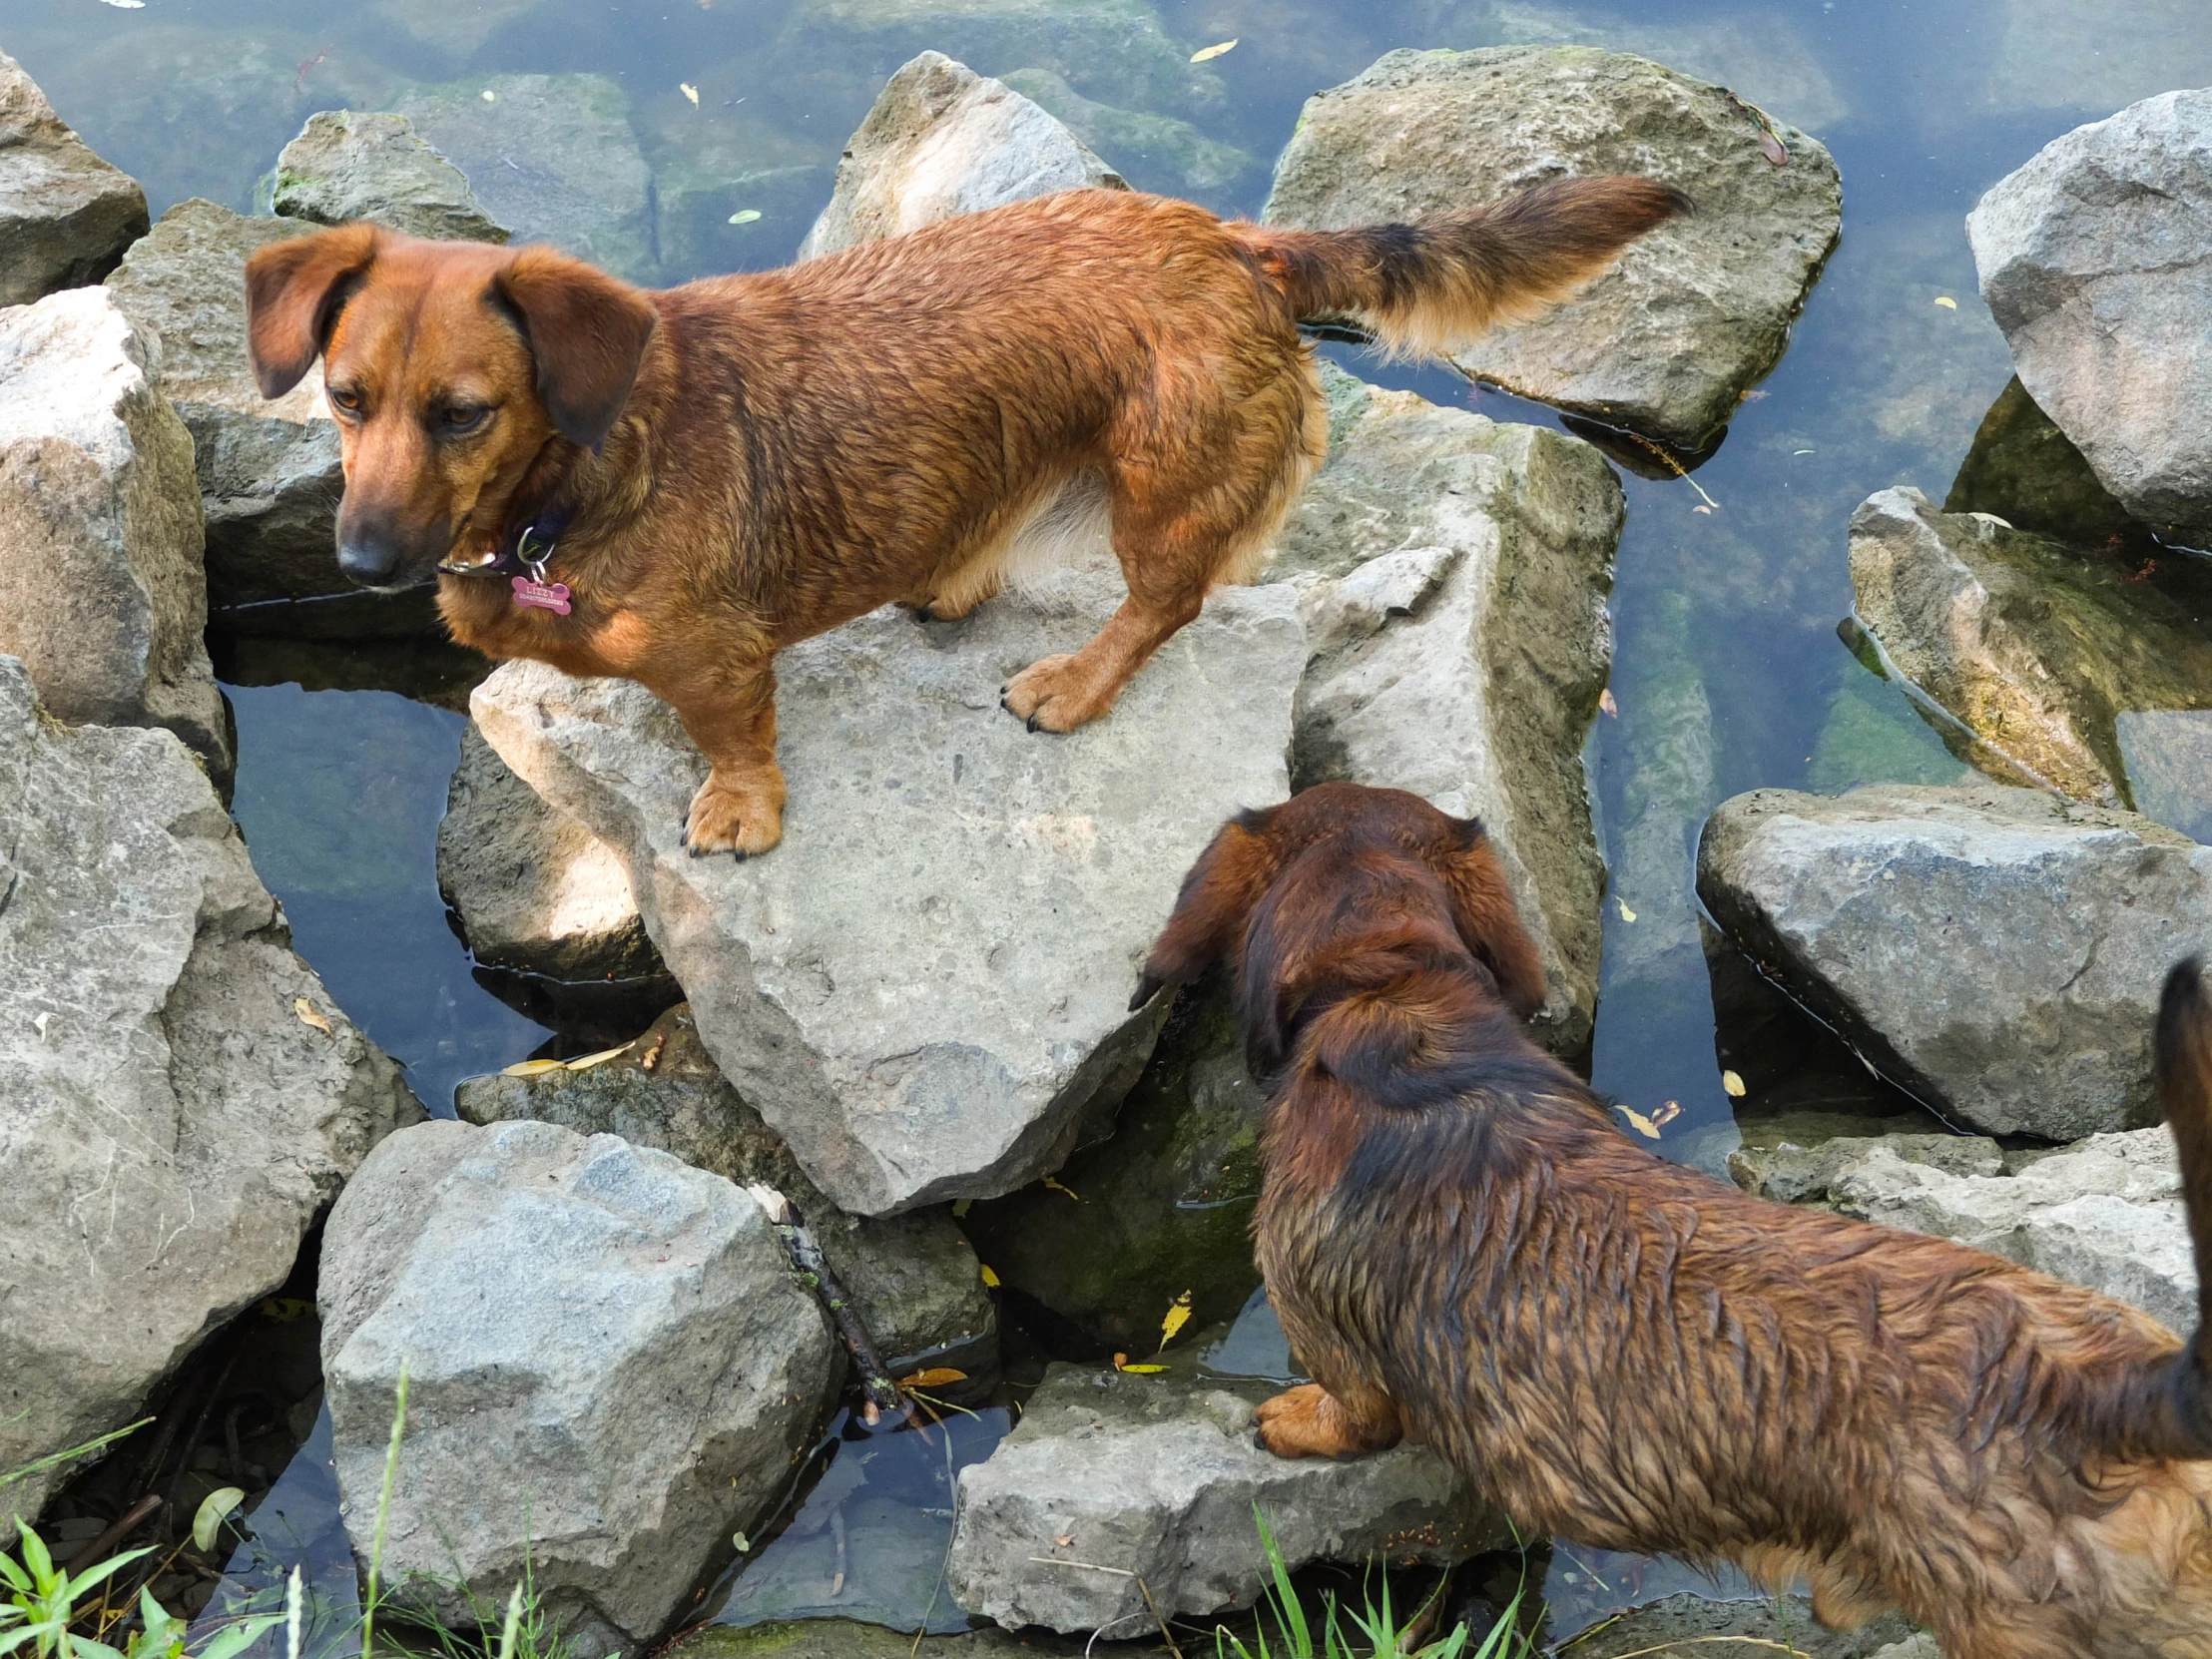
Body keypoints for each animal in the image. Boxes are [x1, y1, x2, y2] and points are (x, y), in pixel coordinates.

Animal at [242, 181, 1681, 857]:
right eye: (346, 396)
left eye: (464, 413)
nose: (360, 559)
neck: (576, 480)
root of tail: (1238, 244)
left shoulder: (721, 663)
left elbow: (736, 735)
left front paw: (739, 811)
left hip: (1161, 491)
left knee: (1165, 604)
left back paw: (1073, 682)